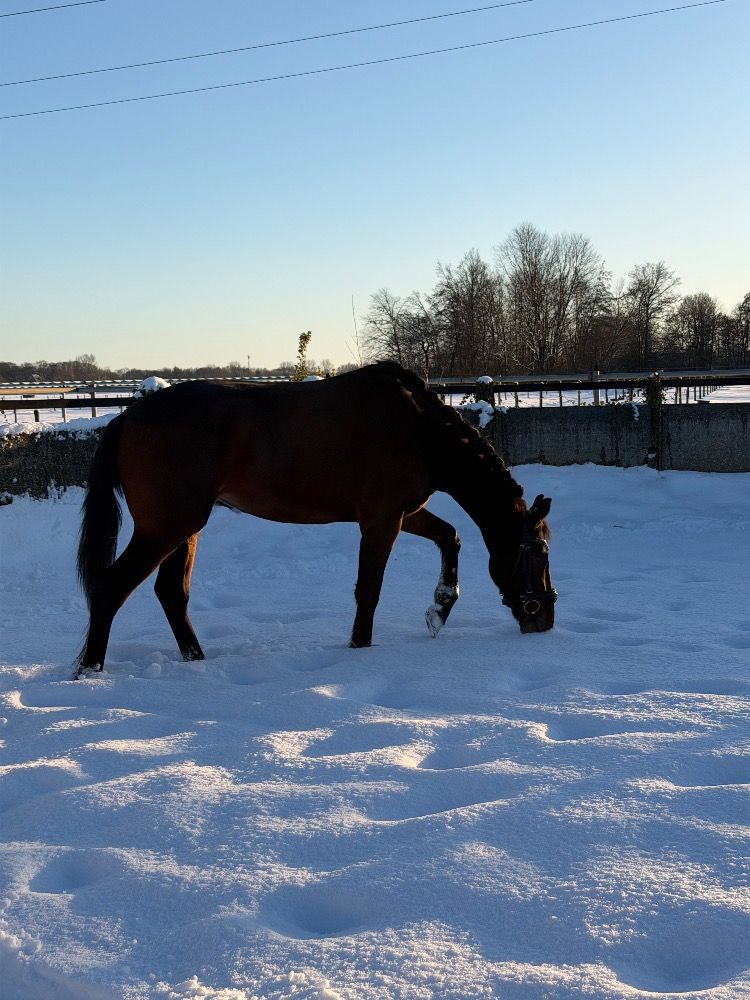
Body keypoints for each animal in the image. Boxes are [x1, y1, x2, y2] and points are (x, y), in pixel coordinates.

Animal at [75, 363, 556, 677]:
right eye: (538, 551)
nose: (544, 620)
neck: (419, 429)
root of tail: (126, 419)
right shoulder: (382, 519)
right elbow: (369, 591)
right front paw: (360, 648)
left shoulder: (403, 513)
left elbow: (450, 536)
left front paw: (440, 608)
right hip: (166, 528)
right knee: (111, 588)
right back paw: (89, 670)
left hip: (184, 529)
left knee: (171, 593)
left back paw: (196, 661)